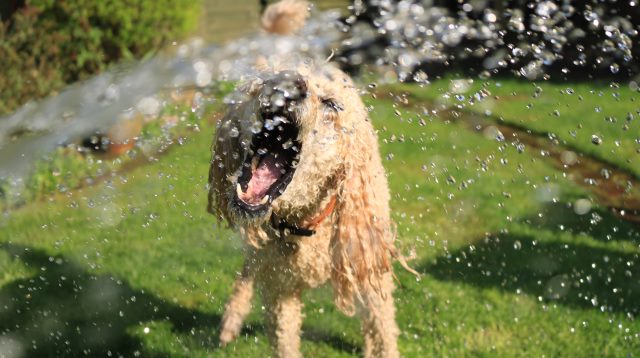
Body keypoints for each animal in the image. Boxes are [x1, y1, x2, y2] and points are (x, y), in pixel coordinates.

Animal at [206, 60, 404, 356]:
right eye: (267, 79)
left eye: (331, 104)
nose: (290, 83)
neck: (305, 224)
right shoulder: (279, 288)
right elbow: (284, 340)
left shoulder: (369, 267)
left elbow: (382, 331)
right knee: (247, 271)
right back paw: (231, 321)